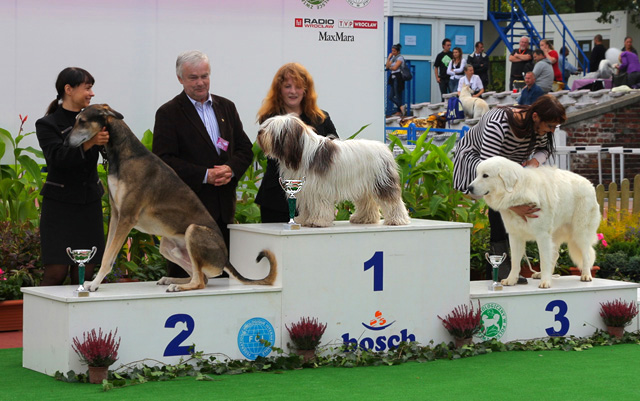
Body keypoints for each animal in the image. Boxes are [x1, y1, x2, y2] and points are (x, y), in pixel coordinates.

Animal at [256, 114, 410, 227]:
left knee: (393, 201)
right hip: (363, 187)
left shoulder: (318, 188)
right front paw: (303, 220)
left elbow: (319, 205)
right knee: (367, 202)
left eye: (271, 128)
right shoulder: (305, 189)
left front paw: (317, 221)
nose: (259, 132)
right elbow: (307, 206)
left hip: (382, 182)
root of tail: (384, 148)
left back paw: (397, 220)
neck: (301, 151)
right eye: (266, 125)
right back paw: (364, 219)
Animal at [468, 156, 604, 288]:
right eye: (477, 174)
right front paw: (511, 280)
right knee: (555, 255)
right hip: (555, 233)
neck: (518, 191)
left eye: (485, 175)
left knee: (586, 254)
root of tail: (588, 183)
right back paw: (541, 274)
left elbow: (543, 260)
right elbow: (515, 261)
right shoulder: (515, 236)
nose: (469, 188)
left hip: (580, 232)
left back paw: (586, 275)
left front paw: (545, 282)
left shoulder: (542, 235)